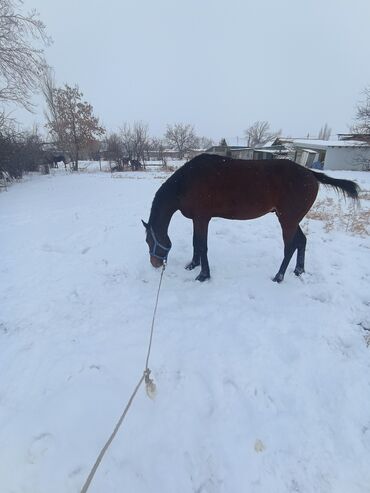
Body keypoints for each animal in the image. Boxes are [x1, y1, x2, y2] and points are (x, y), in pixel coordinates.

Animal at [142, 152, 358, 282]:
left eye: (148, 240)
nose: (154, 264)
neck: (186, 182)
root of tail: (311, 174)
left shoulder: (202, 218)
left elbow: (202, 246)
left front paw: (203, 275)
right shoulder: (198, 219)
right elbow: (196, 243)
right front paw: (193, 265)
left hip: (287, 220)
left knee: (290, 247)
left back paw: (279, 277)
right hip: (291, 219)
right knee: (302, 241)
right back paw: (298, 270)